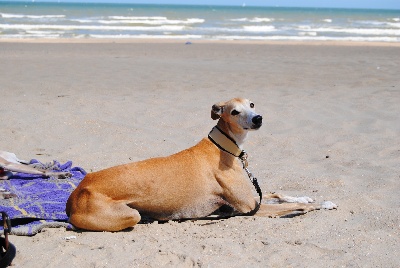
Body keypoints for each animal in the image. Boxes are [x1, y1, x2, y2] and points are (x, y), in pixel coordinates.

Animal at [67, 97, 336, 231]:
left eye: (251, 105)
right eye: (234, 111)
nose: (258, 118)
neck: (223, 147)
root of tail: (76, 193)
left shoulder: (252, 196)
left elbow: (279, 193)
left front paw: (305, 197)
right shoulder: (249, 207)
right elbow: (291, 206)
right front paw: (321, 203)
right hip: (129, 213)